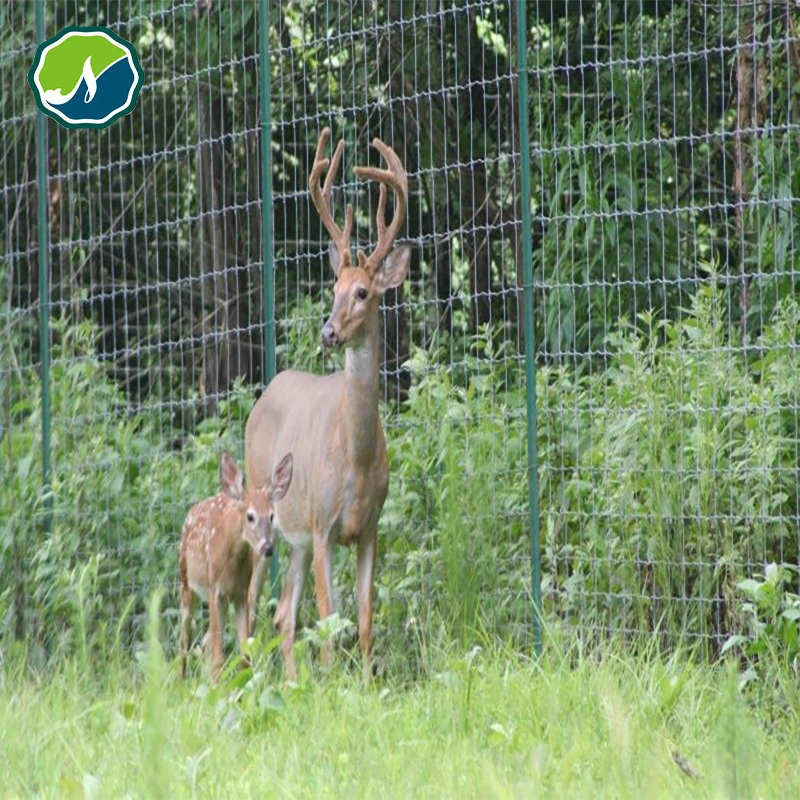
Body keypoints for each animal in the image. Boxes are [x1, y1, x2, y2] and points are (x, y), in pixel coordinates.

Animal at [178, 454, 294, 680]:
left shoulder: (241, 592)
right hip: (185, 582)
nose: (267, 547)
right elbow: (219, 655)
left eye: (272, 516)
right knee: (185, 640)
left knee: (204, 642)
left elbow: (244, 652)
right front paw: (217, 684)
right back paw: (181, 682)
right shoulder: (214, 589)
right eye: (250, 516)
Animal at [245, 128, 410, 680]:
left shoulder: (369, 527)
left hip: (291, 536)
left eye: (362, 292)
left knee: (282, 612)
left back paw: (293, 682)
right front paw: (333, 684)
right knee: (254, 603)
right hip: (261, 511)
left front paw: (363, 684)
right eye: (332, 286)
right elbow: (327, 616)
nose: (329, 331)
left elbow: (361, 617)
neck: (355, 456)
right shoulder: (321, 526)